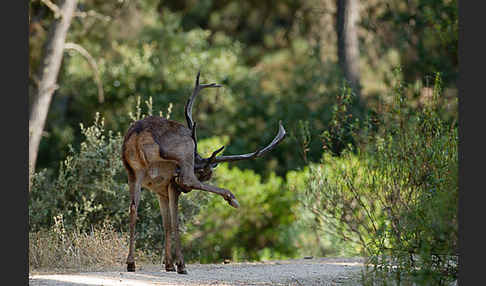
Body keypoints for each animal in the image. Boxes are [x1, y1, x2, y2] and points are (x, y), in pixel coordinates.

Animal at [121, 71, 286, 272]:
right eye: (205, 173)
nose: (185, 190)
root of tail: (140, 133)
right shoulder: (173, 184)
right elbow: (174, 222)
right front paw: (176, 264)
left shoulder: (161, 190)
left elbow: (166, 223)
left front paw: (168, 264)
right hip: (183, 154)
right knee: (188, 182)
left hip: (132, 172)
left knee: (133, 208)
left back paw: (131, 263)